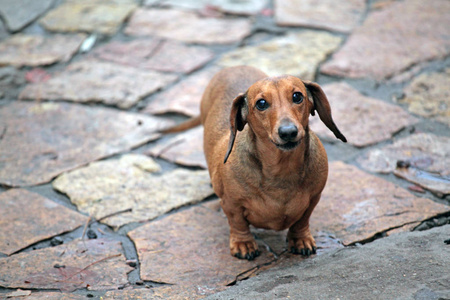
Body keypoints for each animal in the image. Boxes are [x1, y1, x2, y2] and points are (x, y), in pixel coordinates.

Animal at [164, 66, 344, 260]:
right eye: (261, 103)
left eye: (297, 96)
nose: (288, 132)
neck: (282, 169)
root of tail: (232, 67)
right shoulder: (231, 204)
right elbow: (238, 223)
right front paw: (243, 244)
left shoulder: (314, 198)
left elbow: (302, 221)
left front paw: (300, 240)